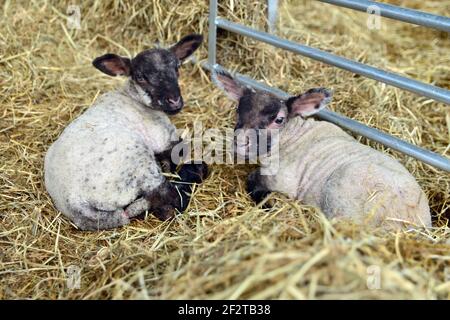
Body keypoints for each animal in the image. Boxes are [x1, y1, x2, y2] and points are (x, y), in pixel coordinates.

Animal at [44, 34, 209, 230]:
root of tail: (73, 202)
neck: (133, 97)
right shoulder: (164, 138)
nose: (174, 101)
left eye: (177, 67)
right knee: (167, 197)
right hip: (139, 163)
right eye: (140, 77)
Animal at [214, 70, 432, 230]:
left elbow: (252, 180)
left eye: (279, 119)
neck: (291, 136)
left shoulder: (282, 179)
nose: (240, 141)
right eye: (238, 110)